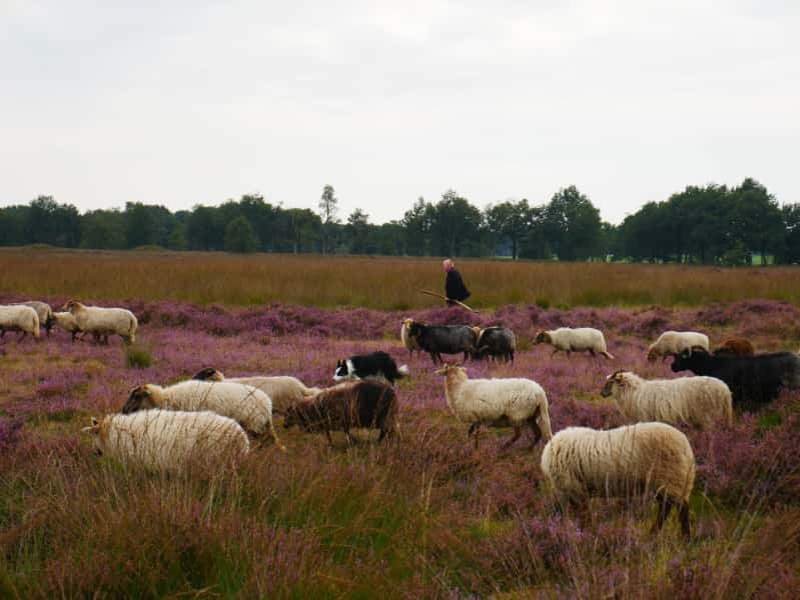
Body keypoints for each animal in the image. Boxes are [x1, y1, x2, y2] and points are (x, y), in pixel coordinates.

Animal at [540, 422, 696, 540]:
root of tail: (686, 445)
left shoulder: (575, 490)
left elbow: (584, 517)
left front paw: (587, 535)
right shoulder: (570, 491)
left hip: (671, 478)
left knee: (681, 509)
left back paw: (685, 539)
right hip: (664, 482)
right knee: (665, 507)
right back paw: (654, 534)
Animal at [600, 368, 732, 428]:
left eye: (610, 382)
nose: (601, 393)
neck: (633, 391)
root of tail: (724, 388)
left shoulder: (645, 417)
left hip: (706, 414)